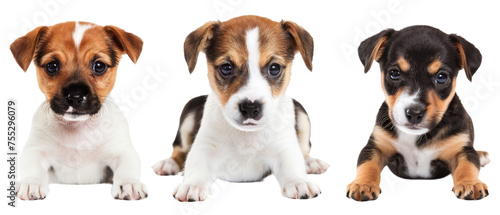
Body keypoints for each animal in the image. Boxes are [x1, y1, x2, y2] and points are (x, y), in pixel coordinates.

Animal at [10, 21, 147, 200]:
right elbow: (33, 166)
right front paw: (31, 183)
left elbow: (127, 166)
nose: (75, 96)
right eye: (52, 66)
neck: (77, 129)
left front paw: (129, 183)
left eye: (99, 66)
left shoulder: (122, 151)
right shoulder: (35, 150)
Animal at [152, 15, 332, 202]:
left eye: (274, 68)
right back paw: (168, 164)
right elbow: (195, 165)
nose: (250, 108)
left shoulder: (285, 148)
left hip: (302, 114)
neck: (247, 136)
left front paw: (299, 182)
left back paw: (311, 163)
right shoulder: (205, 148)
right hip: (189, 110)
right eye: (226, 68)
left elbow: (293, 165)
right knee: (178, 149)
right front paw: (192, 185)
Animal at [346, 25, 490, 202]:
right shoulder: (375, 146)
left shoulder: (462, 149)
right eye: (394, 73)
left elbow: (467, 165)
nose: (414, 113)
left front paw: (471, 184)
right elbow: (367, 164)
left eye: (441, 77)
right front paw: (363, 185)